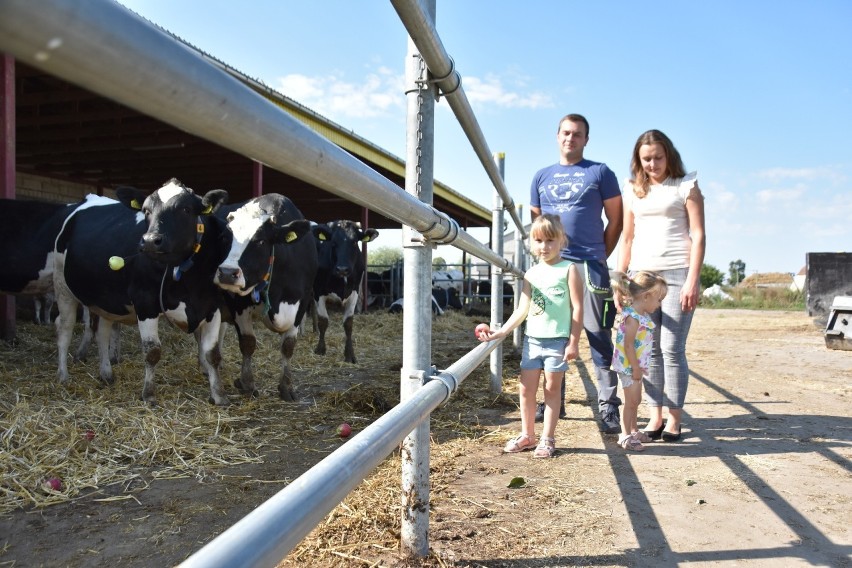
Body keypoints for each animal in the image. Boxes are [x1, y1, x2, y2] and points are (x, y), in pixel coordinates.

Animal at [53, 180, 230, 406]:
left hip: (105, 300)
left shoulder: (211, 306)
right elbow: (152, 351)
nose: (150, 241)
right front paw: (148, 394)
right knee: (64, 328)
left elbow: (212, 354)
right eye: (146, 211)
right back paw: (63, 376)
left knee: (102, 333)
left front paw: (219, 395)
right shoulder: (145, 302)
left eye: (185, 209)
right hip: (62, 286)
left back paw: (106, 374)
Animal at [213, 193, 316, 402]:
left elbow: (288, 346)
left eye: (260, 241)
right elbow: (248, 343)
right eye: (225, 237)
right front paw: (247, 383)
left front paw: (286, 387)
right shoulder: (238, 304)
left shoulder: (302, 303)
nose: (227, 273)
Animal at [312, 220, 378, 362]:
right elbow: (323, 321)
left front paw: (349, 354)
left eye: (354, 242)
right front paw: (320, 349)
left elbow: (348, 324)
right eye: (333, 243)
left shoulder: (354, 292)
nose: (342, 269)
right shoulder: (318, 292)